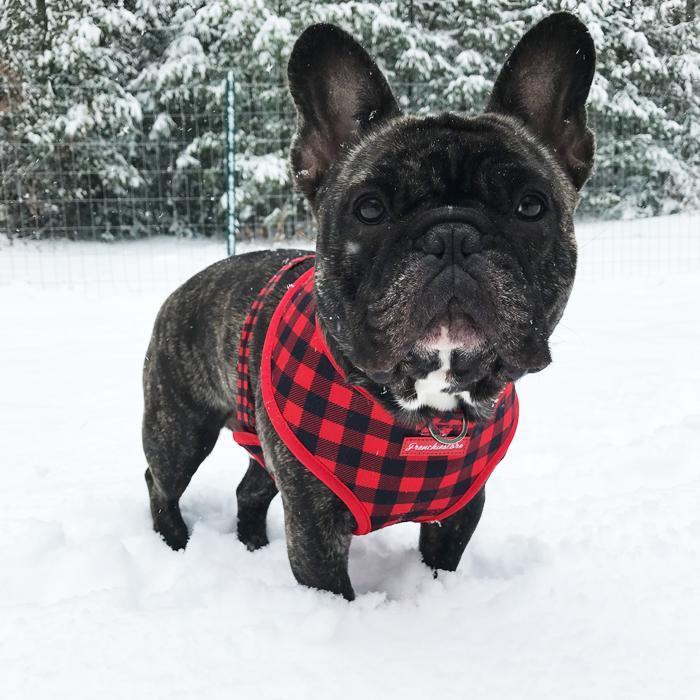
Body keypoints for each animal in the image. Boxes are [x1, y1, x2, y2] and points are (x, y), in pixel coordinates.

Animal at [142, 10, 596, 600]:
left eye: (531, 207)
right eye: (370, 209)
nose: (453, 235)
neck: (428, 406)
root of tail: (186, 286)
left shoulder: (460, 510)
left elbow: (440, 564)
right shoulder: (314, 526)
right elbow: (332, 588)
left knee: (250, 489)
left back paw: (252, 545)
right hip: (179, 428)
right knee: (161, 481)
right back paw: (173, 542)